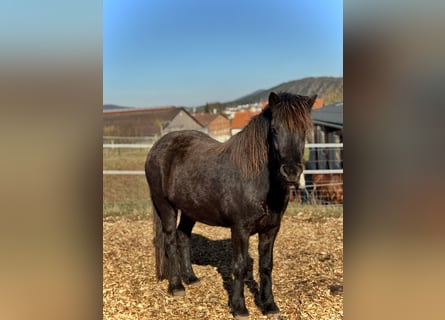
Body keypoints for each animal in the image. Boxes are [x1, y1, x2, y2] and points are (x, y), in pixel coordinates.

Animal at [144, 91, 314, 318]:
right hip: (165, 206)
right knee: (170, 240)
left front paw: (269, 306)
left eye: (304, 130)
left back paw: (191, 278)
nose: (291, 173)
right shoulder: (240, 229)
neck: (255, 179)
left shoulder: (271, 229)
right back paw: (176, 286)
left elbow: (266, 266)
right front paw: (239, 307)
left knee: (183, 236)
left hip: (191, 209)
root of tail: (158, 146)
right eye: (274, 130)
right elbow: (239, 266)